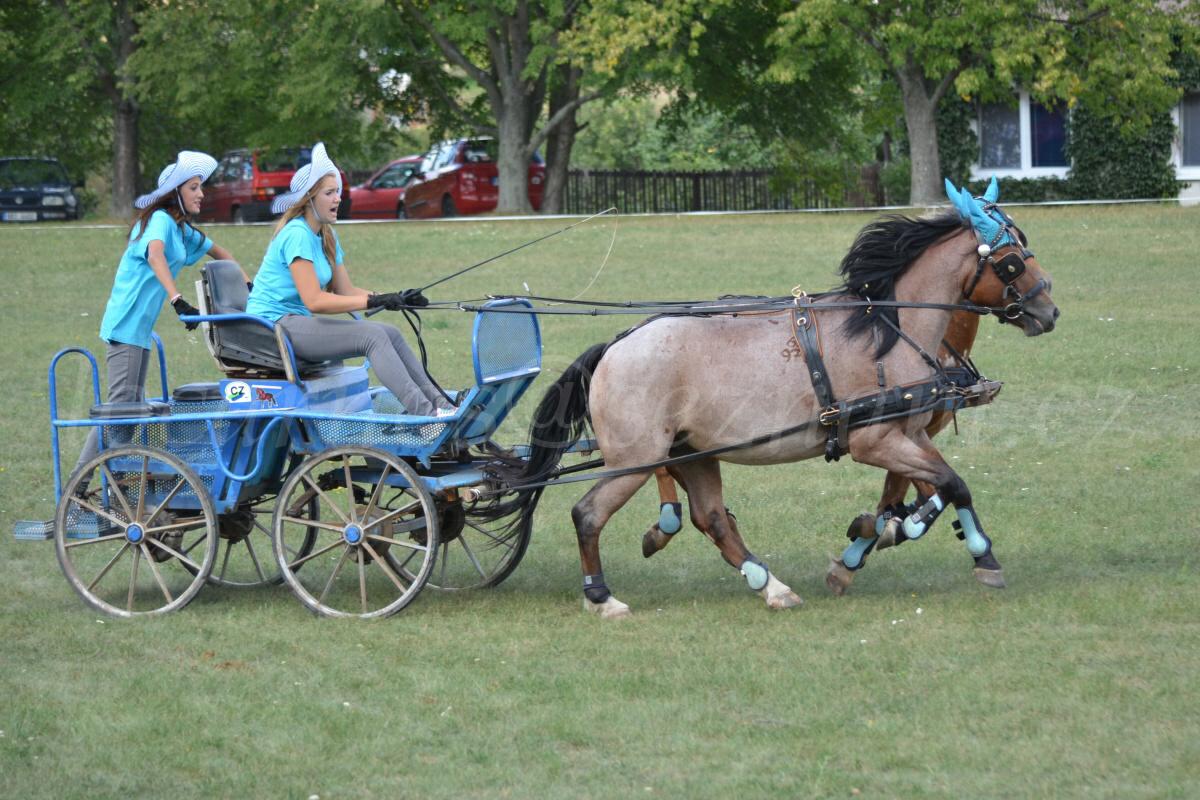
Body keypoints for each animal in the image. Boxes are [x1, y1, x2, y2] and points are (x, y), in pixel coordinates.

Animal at [482, 181, 1056, 618]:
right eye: (1010, 261)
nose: (1048, 311)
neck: (888, 330)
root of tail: (616, 346)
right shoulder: (875, 442)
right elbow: (948, 486)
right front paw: (967, 553)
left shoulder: (910, 433)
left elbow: (934, 489)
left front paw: (901, 541)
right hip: (635, 458)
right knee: (588, 514)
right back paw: (602, 598)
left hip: (691, 452)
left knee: (713, 519)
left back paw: (770, 585)